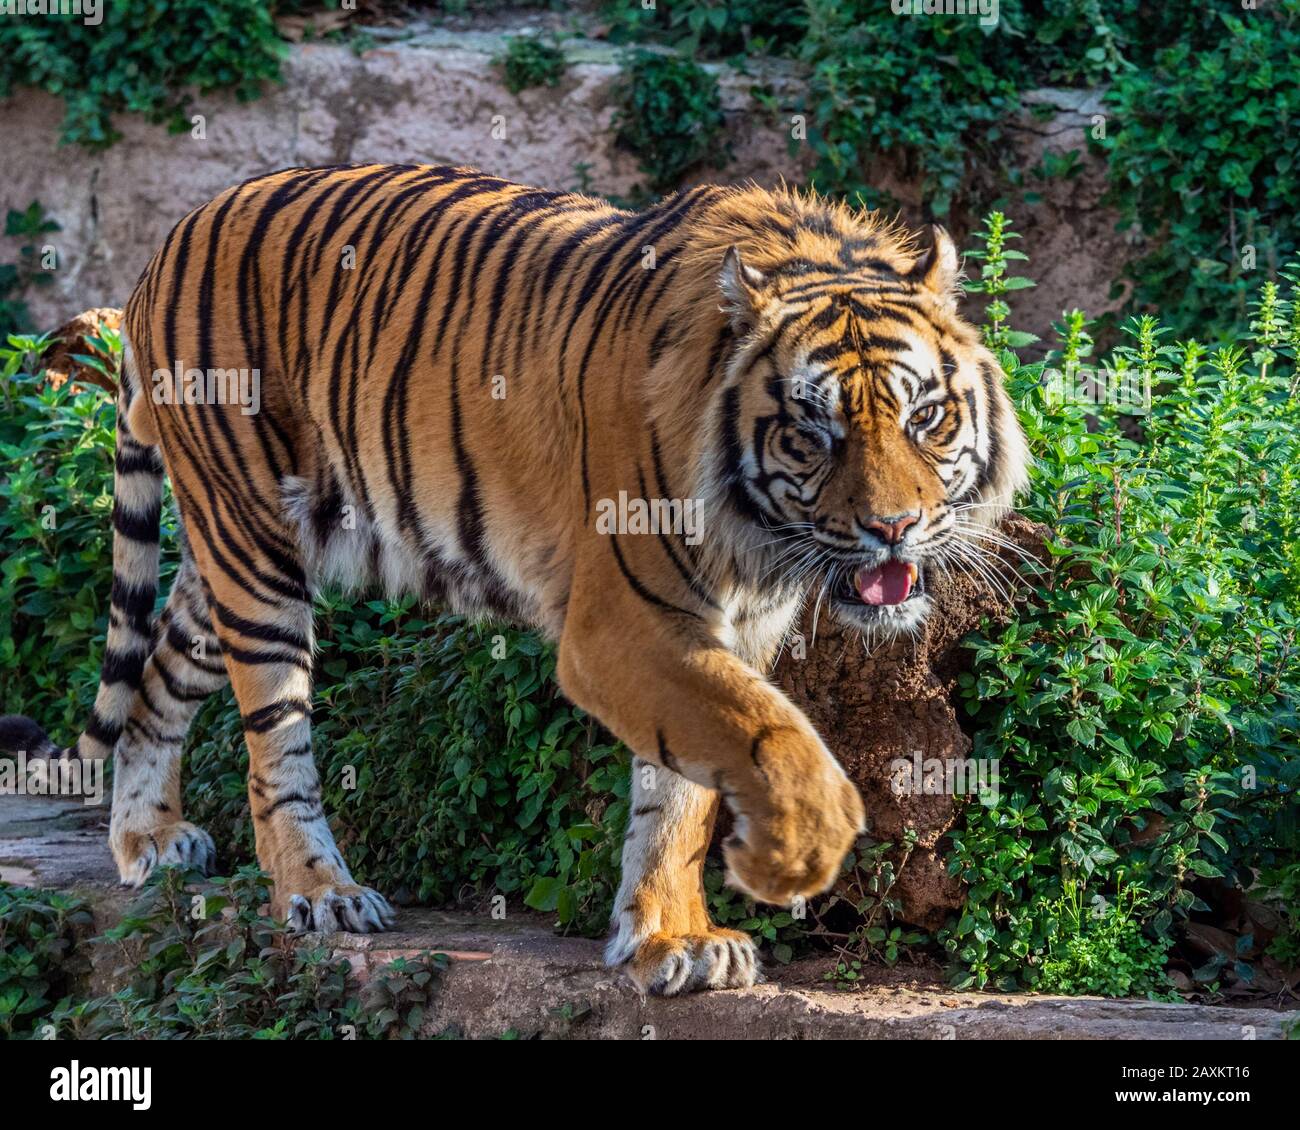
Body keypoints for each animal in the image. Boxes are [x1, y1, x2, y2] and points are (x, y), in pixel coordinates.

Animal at [5, 165, 1029, 998]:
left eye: (927, 417)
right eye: (813, 430)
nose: (893, 527)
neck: (760, 540)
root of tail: (165, 241)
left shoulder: (721, 627)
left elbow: (681, 794)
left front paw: (670, 941)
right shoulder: (625, 622)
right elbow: (761, 731)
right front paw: (793, 855)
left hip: (235, 553)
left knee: (154, 680)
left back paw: (148, 840)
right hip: (255, 558)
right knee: (276, 748)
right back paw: (321, 892)